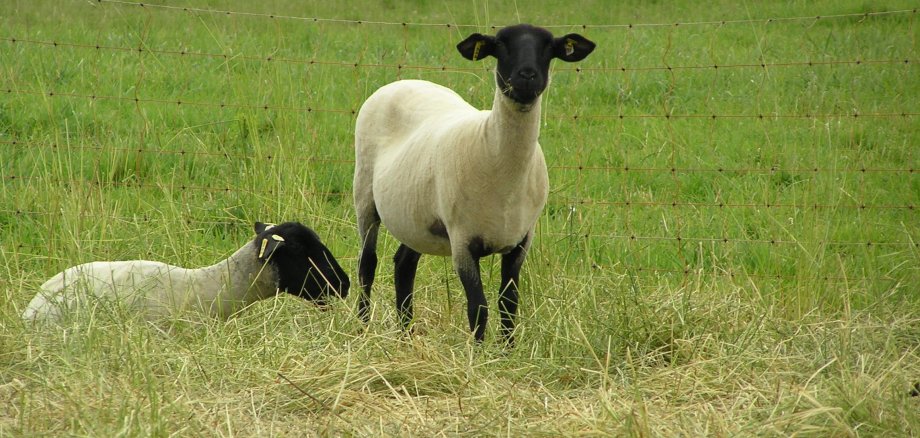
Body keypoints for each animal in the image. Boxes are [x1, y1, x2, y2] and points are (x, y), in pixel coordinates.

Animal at [352, 24, 596, 344]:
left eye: (549, 48)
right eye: (500, 45)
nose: (527, 76)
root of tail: (405, 81)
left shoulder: (521, 239)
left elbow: (509, 303)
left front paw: (507, 350)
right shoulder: (462, 241)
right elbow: (478, 308)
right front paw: (478, 353)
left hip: (417, 217)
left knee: (404, 265)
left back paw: (405, 334)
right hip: (364, 193)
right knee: (367, 263)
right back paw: (362, 328)